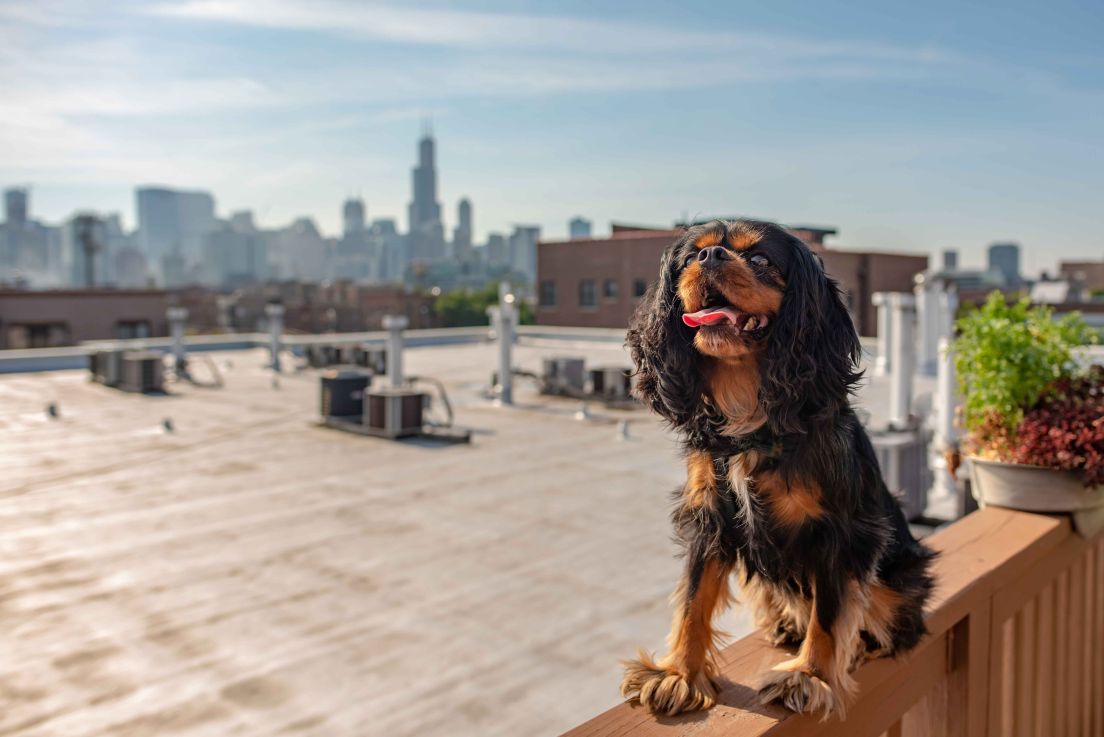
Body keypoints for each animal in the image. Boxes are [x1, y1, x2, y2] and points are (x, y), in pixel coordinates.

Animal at [622, 217, 931, 719]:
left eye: (760, 259)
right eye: (690, 258)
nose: (711, 257)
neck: (750, 409)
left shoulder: (841, 531)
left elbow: (830, 612)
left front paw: (810, 677)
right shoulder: (711, 516)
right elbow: (693, 599)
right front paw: (679, 675)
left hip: (898, 572)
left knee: (891, 620)